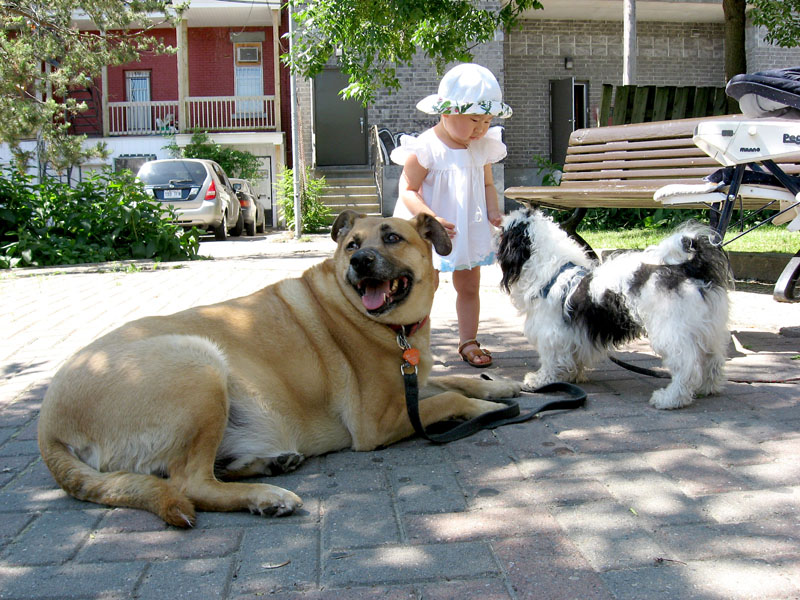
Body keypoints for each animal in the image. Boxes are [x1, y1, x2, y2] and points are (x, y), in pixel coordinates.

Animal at [39, 210, 520, 524]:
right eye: (352, 245)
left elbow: (451, 379)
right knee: (189, 483)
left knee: (204, 471)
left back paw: (270, 465)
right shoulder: (378, 422)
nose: (359, 261)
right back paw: (266, 495)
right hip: (200, 363)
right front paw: (486, 408)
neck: (391, 328)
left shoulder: (409, 386)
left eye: (392, 239)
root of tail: (48, 423)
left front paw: (497, 386)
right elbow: (449, 397)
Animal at [496, 209, 736, 410]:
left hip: (672, 331)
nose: (496, 224)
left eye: (506, 230)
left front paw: (540, 380)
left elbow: (550, 360)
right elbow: (572, 357)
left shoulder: (551, 333)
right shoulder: (576, 334)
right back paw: (708, 388)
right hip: (708, 329)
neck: (553, 273)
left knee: (687, 367)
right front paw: (571, 376)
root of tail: (690, 267)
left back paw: (670, 399)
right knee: (713, 360)